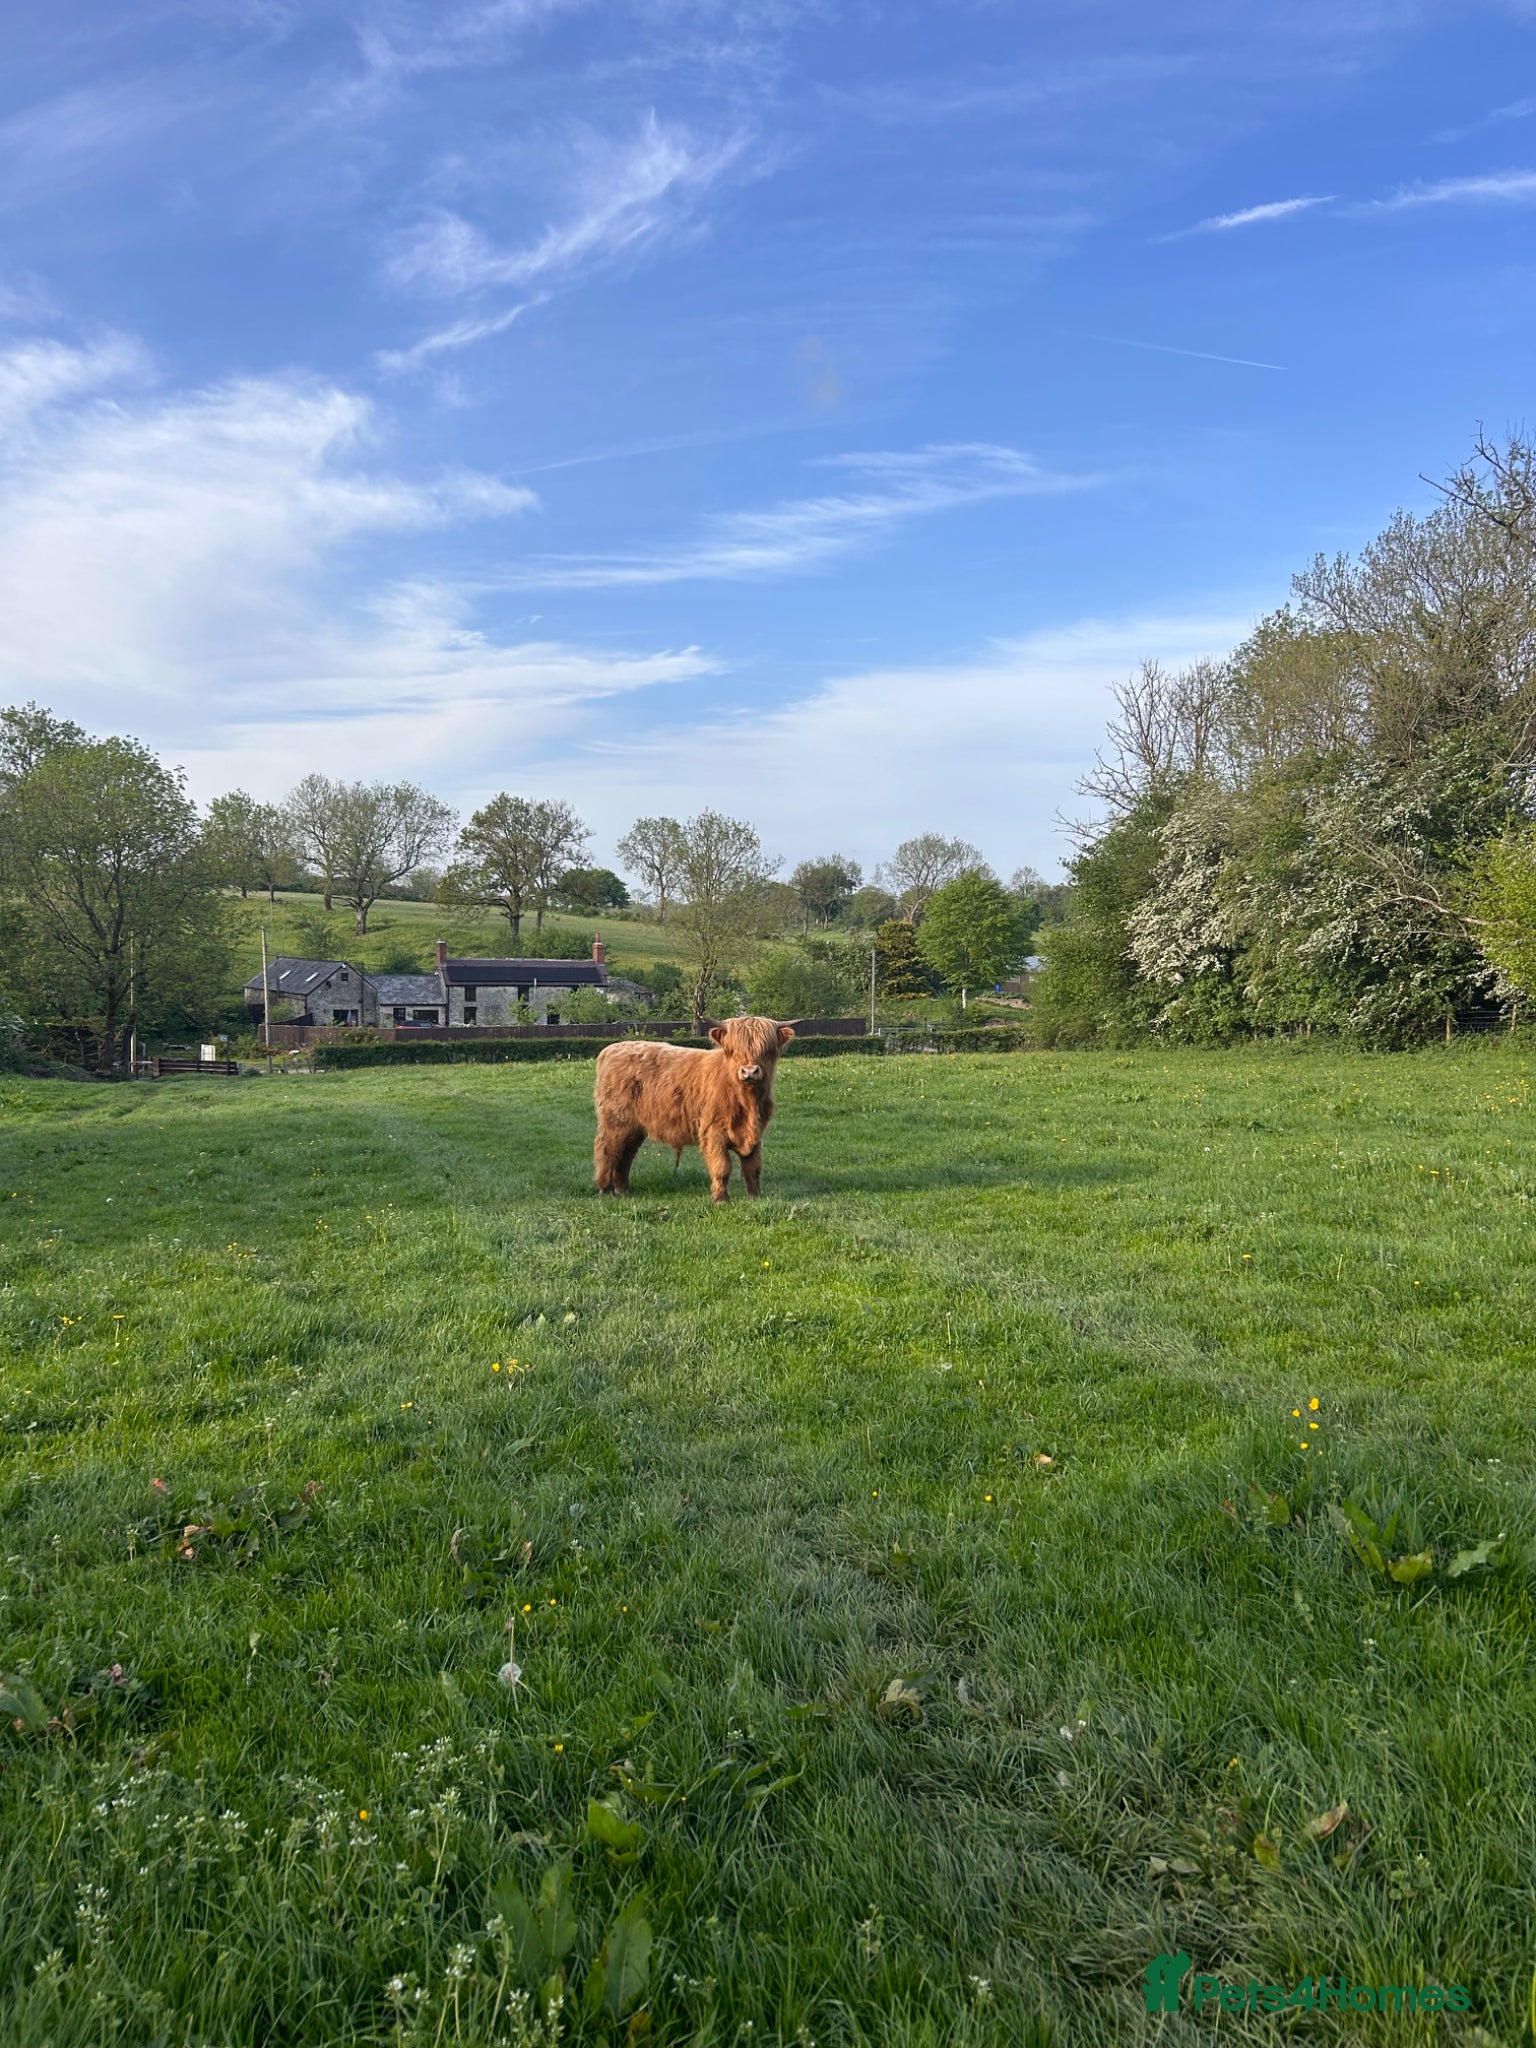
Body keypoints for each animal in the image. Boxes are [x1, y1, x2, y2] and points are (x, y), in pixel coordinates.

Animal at [593, 1016, 796, 1202]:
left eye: (767, 1050)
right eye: (732, 1050)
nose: (750, 1071)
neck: (747, 1102)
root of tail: (611, 1049)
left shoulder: (756, 1133)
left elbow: (753, 1168)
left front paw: (755, 1197)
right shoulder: (713, 1131)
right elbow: (722, 1167)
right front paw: (721, 1199)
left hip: (633, 1127)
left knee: (626, 1154)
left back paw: (622, 1189)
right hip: (615, 1121)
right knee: (607, 1150)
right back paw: (606, 1189)